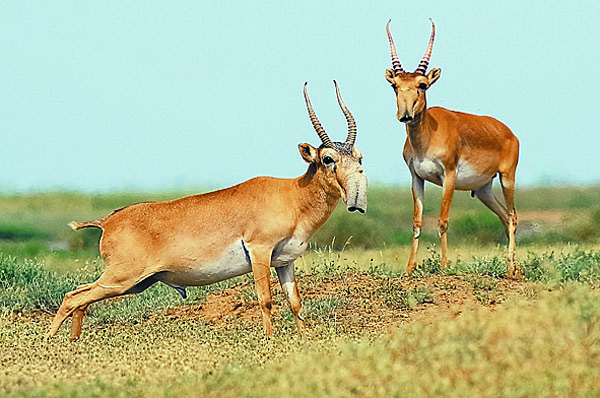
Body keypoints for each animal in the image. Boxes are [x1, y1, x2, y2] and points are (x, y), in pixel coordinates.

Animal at [50, 81, 366, 342]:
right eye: (328, 159)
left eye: (359, 157)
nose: (355, 195)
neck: (293, 195)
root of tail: (108, 221)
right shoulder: (260, 252)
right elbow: (265, 299)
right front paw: (270, 340)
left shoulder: (284, 261)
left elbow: (295, 301)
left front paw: (303, 338)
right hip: (123, 279)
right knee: (71, 297)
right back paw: (51, 342)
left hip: (133, 283)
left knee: (79, 295)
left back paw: (72, 342)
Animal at [384, 20, 520, 278]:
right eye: (395, 86)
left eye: (422, 84)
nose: (405, 115)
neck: (427, 137)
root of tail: (509, 132)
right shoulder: (416, 178)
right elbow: (417, 222)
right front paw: (409, 268)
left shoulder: (449, 176)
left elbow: (442, 220)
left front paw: (445, 266)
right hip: (484, 190)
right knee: (504, 217)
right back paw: (514, 267)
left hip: (507, 178)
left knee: (513, 217)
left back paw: (511, 270)